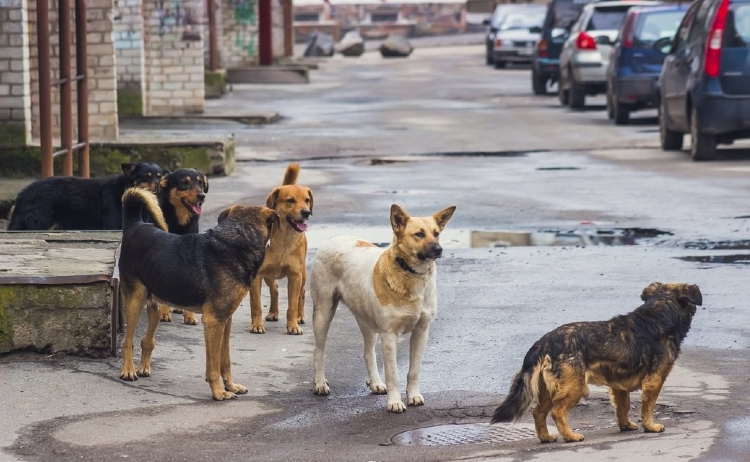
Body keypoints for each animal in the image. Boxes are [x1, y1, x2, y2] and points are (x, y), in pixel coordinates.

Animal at [9, 162, 167, 231]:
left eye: (159, 176)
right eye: (146, 176)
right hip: (41, 221)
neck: (124, 189)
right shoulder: (113, 225)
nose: (158, 186)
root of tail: (23, 193)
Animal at [119, 188, 278, 400]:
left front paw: (231, 386)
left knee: (147, 339)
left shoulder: (225, 320)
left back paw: (143, 367)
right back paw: (128, 371)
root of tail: (135, 224)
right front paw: (218, 392)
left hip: (155, 305)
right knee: (128, 340)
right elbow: (213, 365)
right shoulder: (214, 322)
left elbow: (225, 360)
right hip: (135, 301)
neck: (238, 239)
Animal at [251, 164, 312, 334]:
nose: (306, 212)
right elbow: (256, 305)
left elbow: (292, 305)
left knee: (302, 293)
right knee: (275, 289)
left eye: (307, 200)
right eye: (290, 201)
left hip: (302, 275)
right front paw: (256, 325)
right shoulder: (257, 276)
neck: (284, 239)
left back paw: (300, 316)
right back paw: (273, 312)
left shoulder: (295, 276)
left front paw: (293, 325)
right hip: (268, 275)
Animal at [312, 204, 458, 414]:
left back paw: (375, 383)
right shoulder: (389, 335)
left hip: (367, 321)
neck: (409, 273)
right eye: (419, 234)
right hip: (323, 313)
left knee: (368, 352)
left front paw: (413, 396)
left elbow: (414, 371)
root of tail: (333, 238)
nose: (439, 249)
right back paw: (320, 383)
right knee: (319, 351)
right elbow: (393, 373)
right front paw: (395, 402)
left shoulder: (421, 332)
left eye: (436, 233)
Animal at [494, 284, 704, 442]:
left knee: (538, 412)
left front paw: (625, 425)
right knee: (557, 412)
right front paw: (650, 426)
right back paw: (570, 436)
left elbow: (623, 407)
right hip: (575, 387)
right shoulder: (655, 380)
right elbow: (648, 407)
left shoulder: (619, 386)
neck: (661, 312)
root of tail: (543, 343)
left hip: (549, 389)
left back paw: (546, 437)